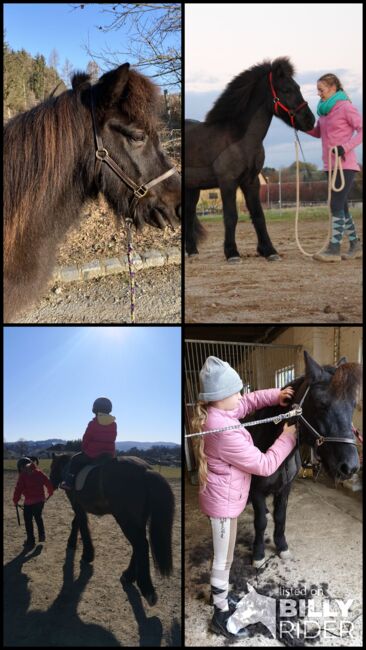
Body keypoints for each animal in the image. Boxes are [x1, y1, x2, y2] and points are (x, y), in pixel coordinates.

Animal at [49, 454, 175, 604]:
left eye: (52, 466)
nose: (50, 482)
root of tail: (146, 470)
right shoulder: (78, 506)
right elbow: (76, 523)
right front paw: (73, 544)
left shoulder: (76, 504)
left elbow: (82, 525)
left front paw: (87, 554)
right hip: (137, 519)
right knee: (139, 544)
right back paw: (128, 576)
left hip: (125, 519)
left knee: (141, 545)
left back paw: (146, 588)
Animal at [186, 55, 314, 258]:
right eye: (287, 89)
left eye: (298, 87)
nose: (310, 120)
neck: (240, 139)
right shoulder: (228, 181)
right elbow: (231, 216)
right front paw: (232, 252)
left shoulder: (251, 181)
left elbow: (258, 215)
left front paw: (269, 250)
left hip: (193, 188)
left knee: (189, 215)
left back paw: (192, 251)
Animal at [244, 350, 362, 568]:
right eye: (322, 404)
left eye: (353, 406)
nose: (350, 467)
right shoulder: (256, 490)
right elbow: (260, 523)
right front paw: (258, 555)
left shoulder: (285, 488)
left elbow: (280, 517)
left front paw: (282, 546)